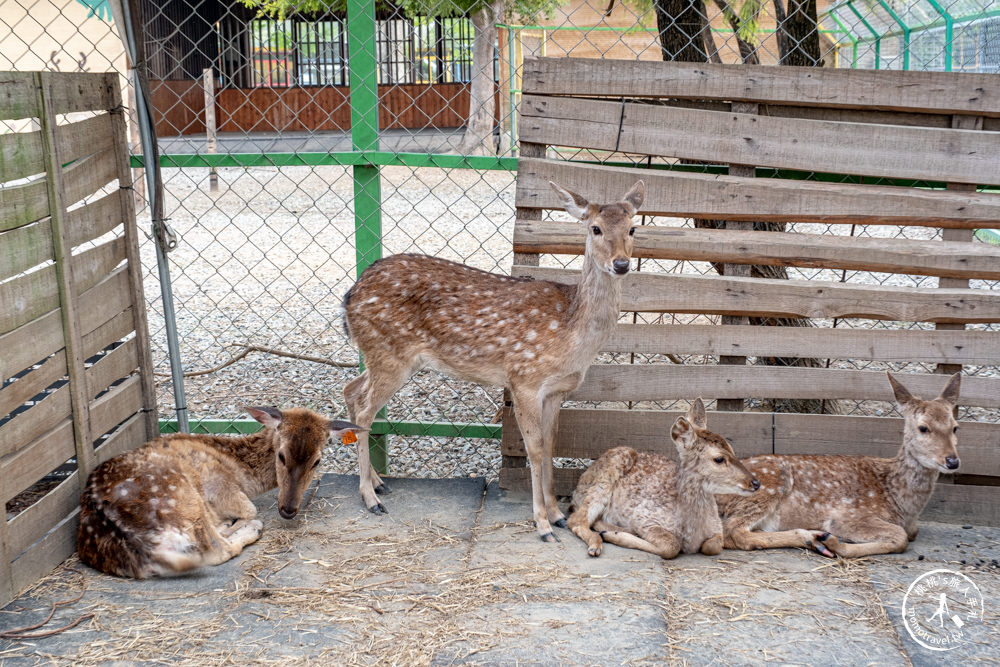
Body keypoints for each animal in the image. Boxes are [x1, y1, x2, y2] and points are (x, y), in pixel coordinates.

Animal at [77, 404, 368, 576]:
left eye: (317, 461)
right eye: (282, 455)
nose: (288, 509)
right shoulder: (219, 486)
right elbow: (249, 508)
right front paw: (245, 521)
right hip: (182, 496)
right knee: (215, 549)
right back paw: (249, 528)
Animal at [340, 180, 644, 540]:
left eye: (633, 228)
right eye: (595, 228)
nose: (621, 264)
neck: (571, 335)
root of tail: (350, 295)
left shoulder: (556, 390)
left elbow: (551, 445)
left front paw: (557, 515)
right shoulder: (524, 378)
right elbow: (534, 449)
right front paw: (542, 524)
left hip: (383, 355)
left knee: (351, 390)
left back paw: (377, 482)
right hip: (389, 353)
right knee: (364, 409)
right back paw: (370, 498)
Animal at [568, 402, 760, 560]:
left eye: (732, 450)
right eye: (719, 459)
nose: (755, 483)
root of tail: (579, 485)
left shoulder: (717, 529)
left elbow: (714, 545)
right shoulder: (644, 517)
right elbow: (671, 547)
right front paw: (616, 535)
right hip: (606, 478)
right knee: (576, 520)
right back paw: (599, 542)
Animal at [720, 374, 960, 560]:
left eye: (956, 427)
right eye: (923, 428)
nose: (952, 461)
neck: (902, 504)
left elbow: (909, 534)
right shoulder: (847, 515)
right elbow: (900, 537)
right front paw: (835, 543)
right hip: (767, 485)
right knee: (732, 531)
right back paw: (813, 538)